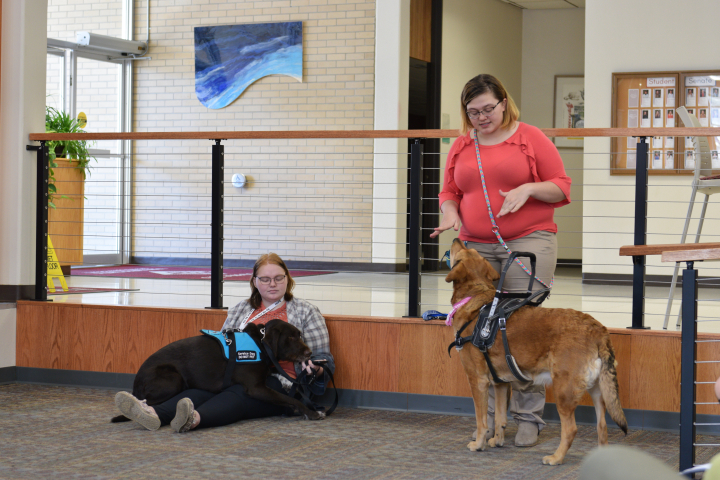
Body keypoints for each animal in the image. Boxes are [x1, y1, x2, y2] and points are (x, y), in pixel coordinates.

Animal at [109, 320, 324, 422]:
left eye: (300, 335)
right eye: (291, 338)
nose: (310, 353)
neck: (260, 343)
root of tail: (136, 384)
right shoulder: (256, 388)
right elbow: (291, 399)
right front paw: (311, 412)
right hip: (172, 379)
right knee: (148, 401)